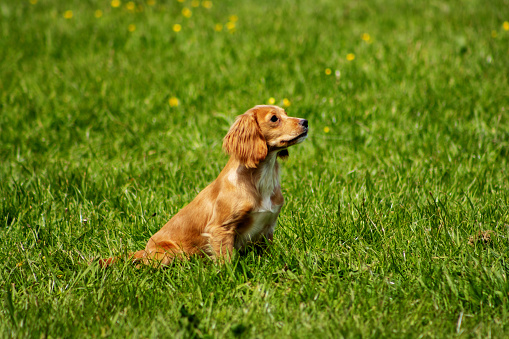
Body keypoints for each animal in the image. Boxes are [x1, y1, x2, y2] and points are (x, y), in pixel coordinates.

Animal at [99, 105, 306, 266]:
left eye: (286, 113)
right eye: (274, 118)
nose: (305, 121)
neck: (260, 178)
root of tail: (144, 252)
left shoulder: (267, 227)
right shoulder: (220, 228)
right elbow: (226, 260)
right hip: (167, 253)